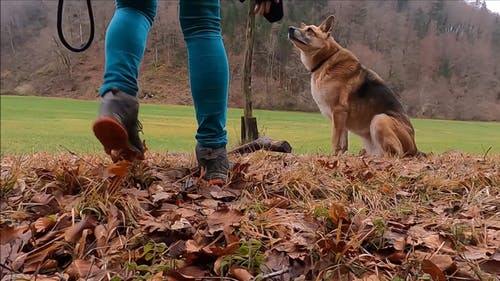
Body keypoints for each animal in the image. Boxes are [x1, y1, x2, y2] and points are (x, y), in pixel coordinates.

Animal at [290, 15, 418, 155]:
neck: (327, 59)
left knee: (395, 153)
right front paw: (340, 156)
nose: (290, 28)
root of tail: (414, 148)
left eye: (310, 30)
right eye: (304, 28)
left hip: (379, 119)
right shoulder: (342, 120)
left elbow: (335, 140)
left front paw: (333, 156)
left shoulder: (338, 112)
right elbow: (343, 144)